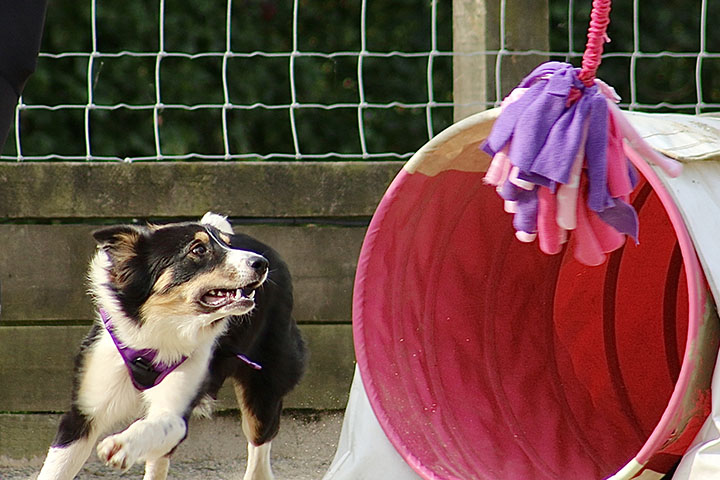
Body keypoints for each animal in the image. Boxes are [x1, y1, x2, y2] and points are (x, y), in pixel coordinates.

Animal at [37, 213, 307, 480]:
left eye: (227, 244)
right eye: (198, 249)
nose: (261, 263)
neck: (157, 334)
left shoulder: (179, 407)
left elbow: (158, 425)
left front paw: (123, 445)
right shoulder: (83, 415)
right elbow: (56, 468)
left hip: (263, 392)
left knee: (259, 453)